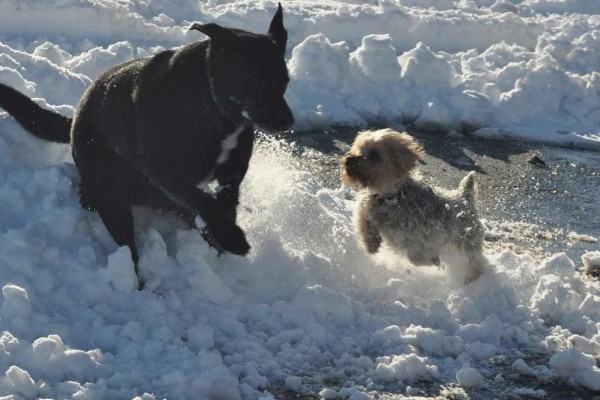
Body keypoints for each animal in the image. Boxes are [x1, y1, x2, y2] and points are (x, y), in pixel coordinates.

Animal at [0, 3, 292, 284]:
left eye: (286, 81)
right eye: (257, 80)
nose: (287, 121)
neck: (208, 104)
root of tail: (74, 122)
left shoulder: (233, 169)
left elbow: (225, 198)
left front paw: (226, 230)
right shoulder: (165, 172)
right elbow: (204, 200)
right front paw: (231, 237)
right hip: (111, 196)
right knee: (128, 248)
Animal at [342, 130, 488, 282]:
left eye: (375, 154)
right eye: (357, 147)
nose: (349, 159)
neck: (391, 198)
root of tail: (465, 196)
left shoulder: (425, 238)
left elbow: (415, 257)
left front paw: (433, 260)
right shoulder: (367, 209)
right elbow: (364, 222)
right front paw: (371, 245)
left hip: (468, 239)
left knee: (476, 261)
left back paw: (470, 279)